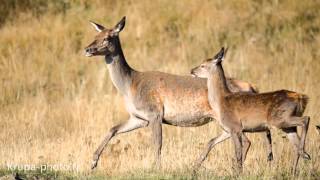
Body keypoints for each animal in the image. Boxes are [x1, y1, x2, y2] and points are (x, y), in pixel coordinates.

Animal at [83, 16, 270, 169]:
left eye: (107, 38)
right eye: (95, 36)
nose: (87, 49)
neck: (130, 86)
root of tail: (251, 86)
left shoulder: (155, 113)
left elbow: (157, 144)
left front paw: (156, 169)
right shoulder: (139, 118)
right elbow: (113, 128)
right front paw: (93, 162)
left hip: (232, 119)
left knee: (247, 140)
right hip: (224, 121)